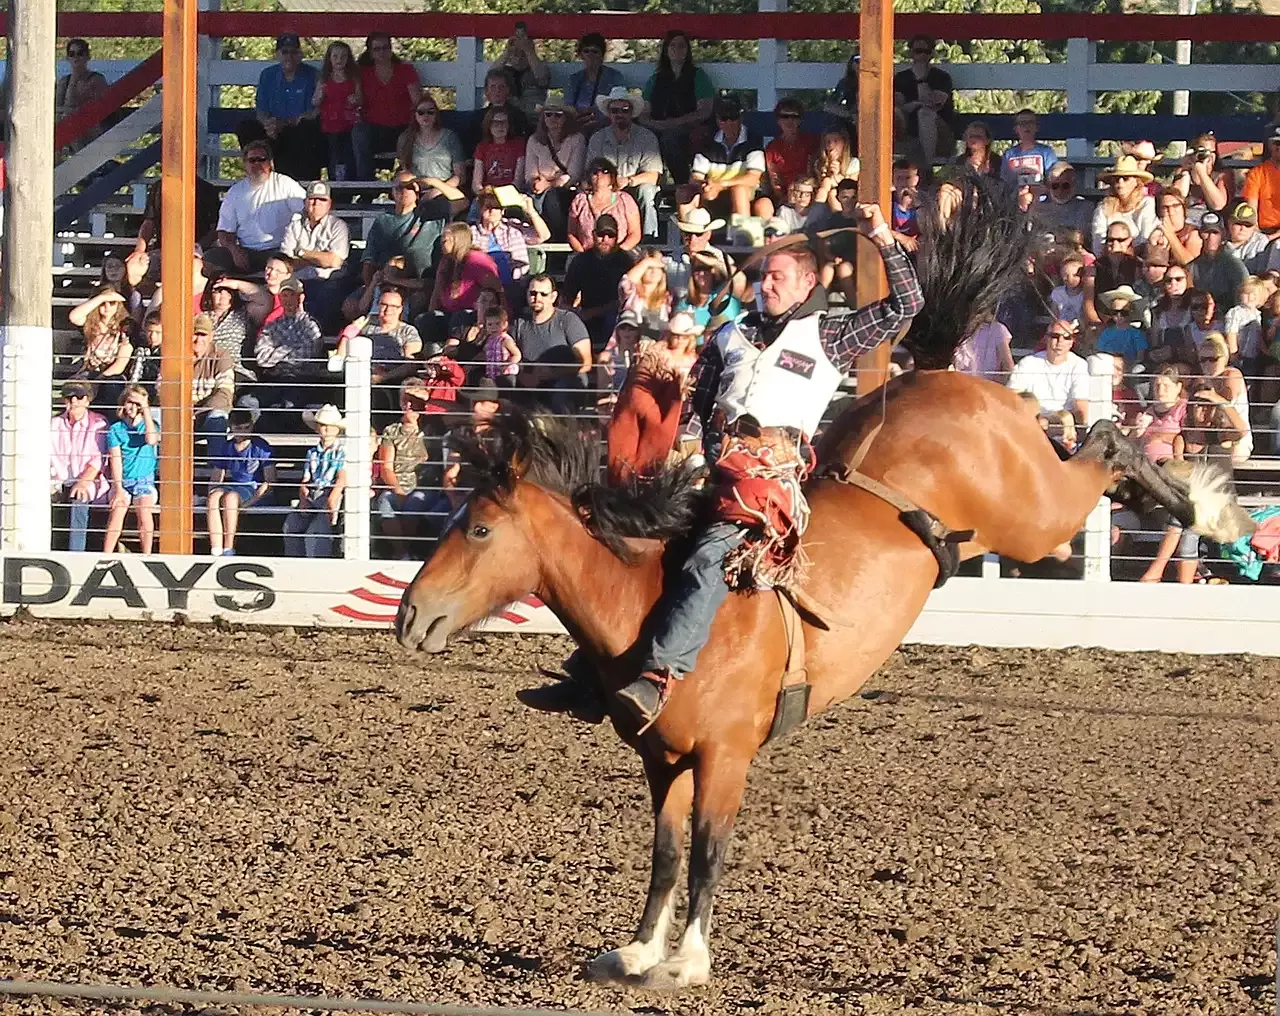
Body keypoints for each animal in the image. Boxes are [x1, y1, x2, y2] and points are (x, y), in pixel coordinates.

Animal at [396, 185, 1239, 987]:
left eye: (478, 530)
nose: (408, 615)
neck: (649, 605)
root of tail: (944, 378)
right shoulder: (662, 761)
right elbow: (665, 855)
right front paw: (635, 952)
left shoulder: (725, 757)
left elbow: (708, 853)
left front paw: (686, 962)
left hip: (1033, 515)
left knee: (1104, 439)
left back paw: (1205, 505)